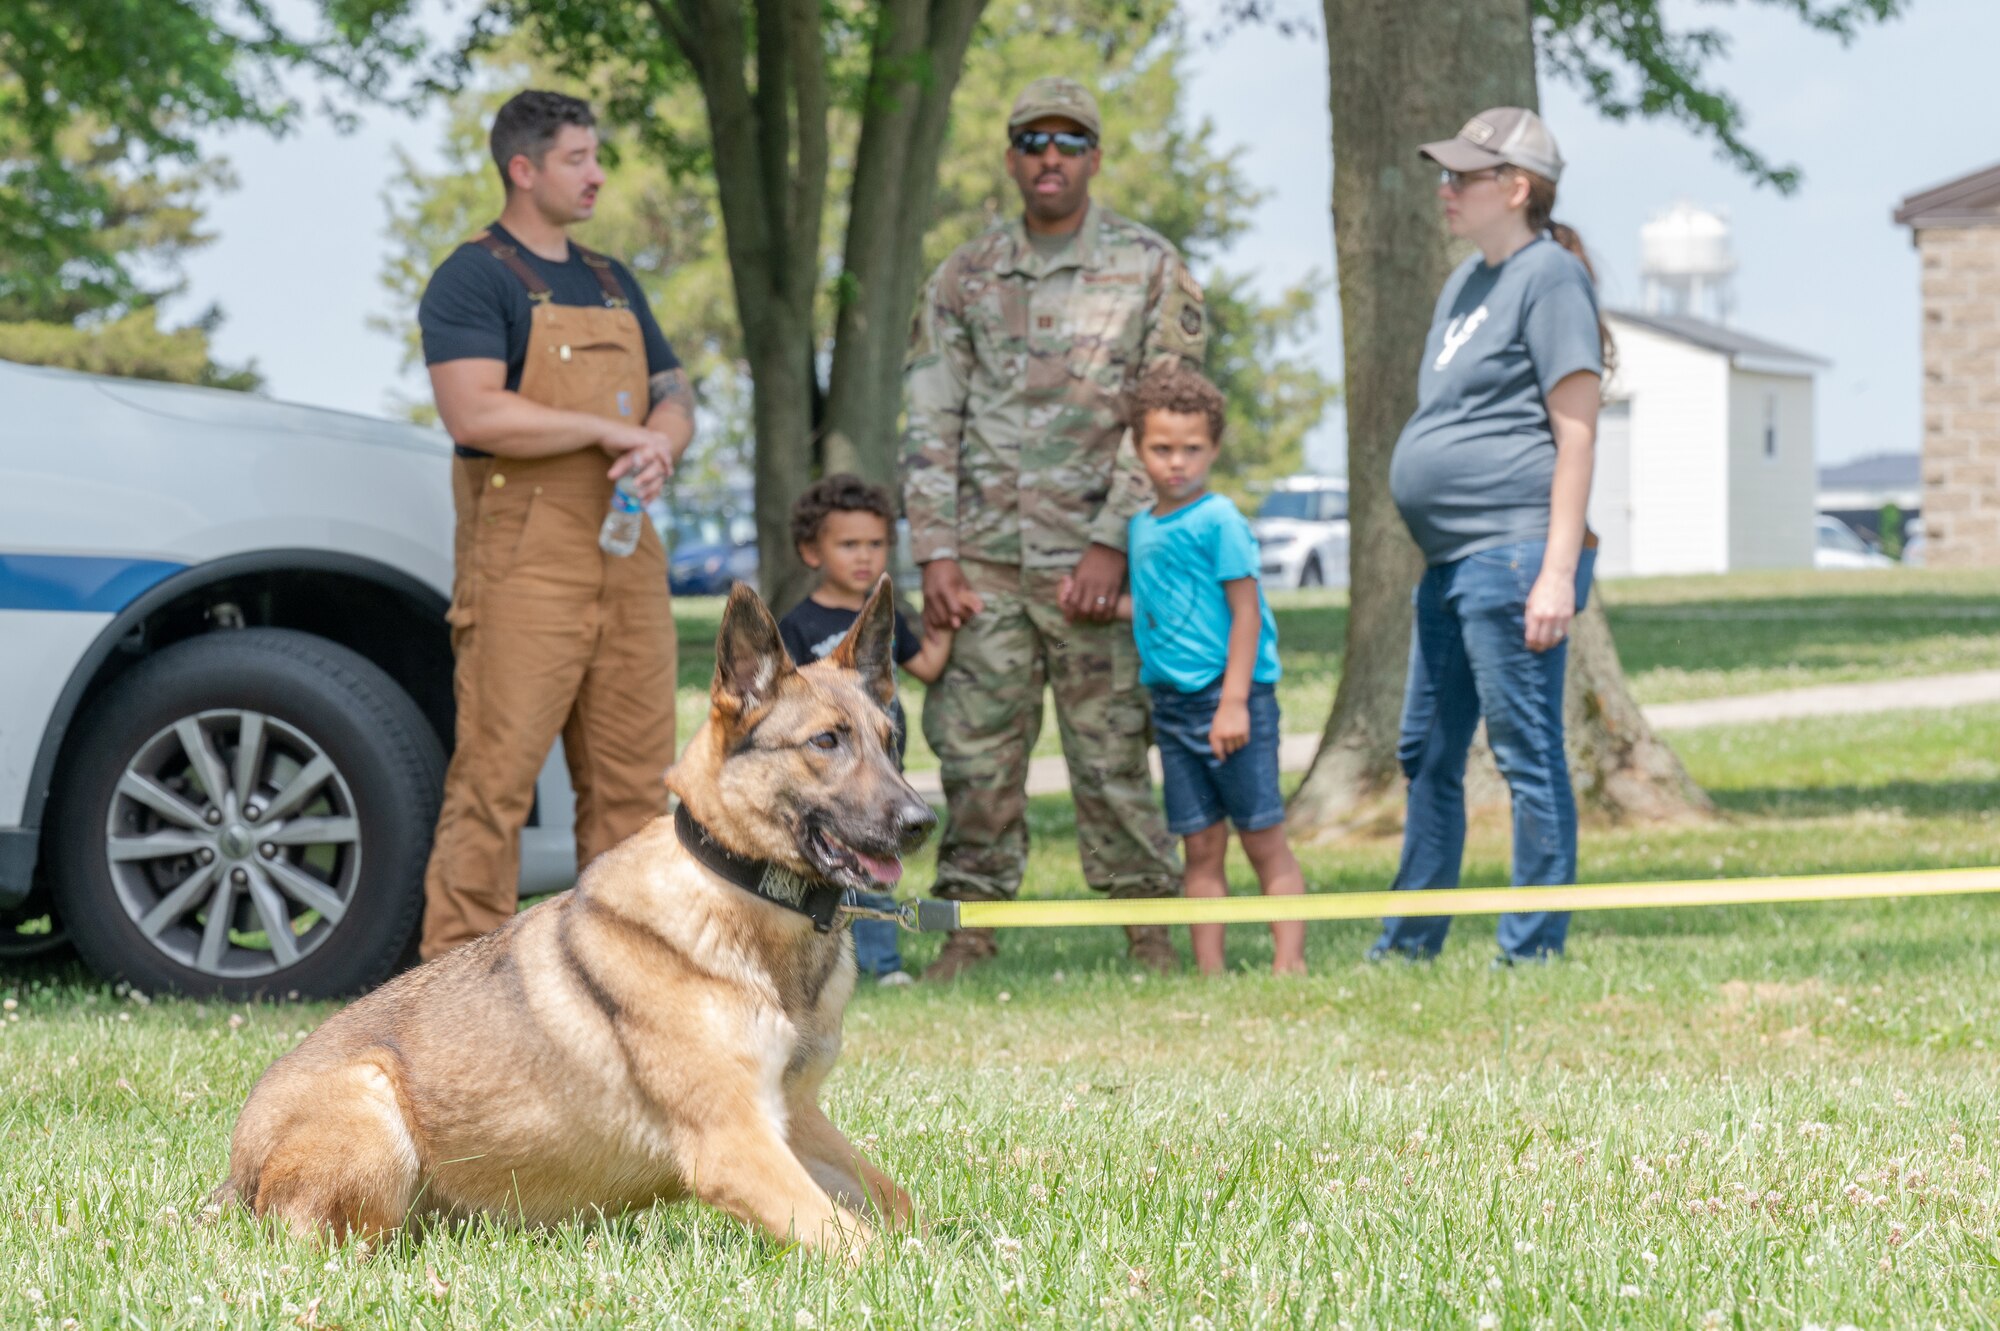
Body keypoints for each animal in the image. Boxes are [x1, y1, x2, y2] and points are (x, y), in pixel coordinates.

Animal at [215, 579, 932, 1255]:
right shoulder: (733, 1143)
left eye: (892, 743)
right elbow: (862, 1245)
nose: (921, 822)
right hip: (372, 1102)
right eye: (825, 741)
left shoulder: (794, 1120)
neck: (745, 896)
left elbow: (900, 1206)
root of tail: (234, 1178)